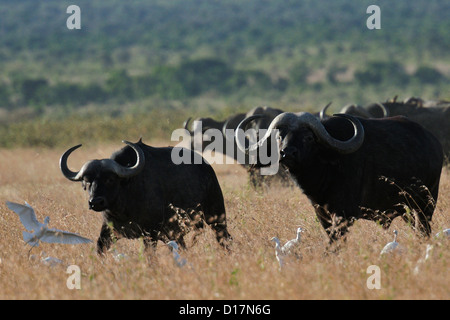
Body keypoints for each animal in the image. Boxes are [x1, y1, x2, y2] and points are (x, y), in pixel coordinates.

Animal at [60, 139, 232, 254]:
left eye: (110, 179)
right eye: (87, 181)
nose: (95, 202)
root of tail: (207, 168)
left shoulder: (150, 233)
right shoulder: (108, 230)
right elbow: (99, 248)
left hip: (216, 216)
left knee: (225, 238)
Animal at [237, 112, 444, 242]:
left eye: (308, 137)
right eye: (280, 136)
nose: (287, 153)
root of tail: (434, 143)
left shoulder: (344, 215)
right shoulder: (322, 213)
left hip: (426, 203)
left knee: (424, 231)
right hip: (407, 209)